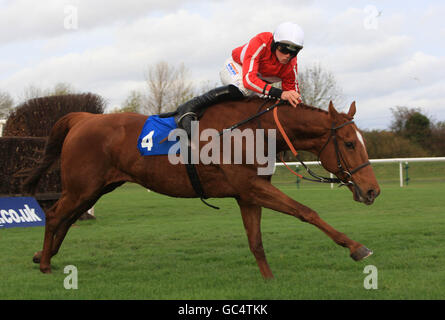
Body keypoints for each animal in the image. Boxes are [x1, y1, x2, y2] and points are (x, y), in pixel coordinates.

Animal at [23, 99, 378, 278]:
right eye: (349, 143)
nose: (372, 190)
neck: (252, 129)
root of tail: (83, 119)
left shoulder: (248, 195)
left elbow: (256, 241)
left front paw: (268, 279)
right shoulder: (250, 187)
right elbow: (306, 211)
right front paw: (356, 247)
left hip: (96, 189)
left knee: (66, 219)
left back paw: (44, 254)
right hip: (82, 188)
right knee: (55, 215)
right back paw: (45, 264)